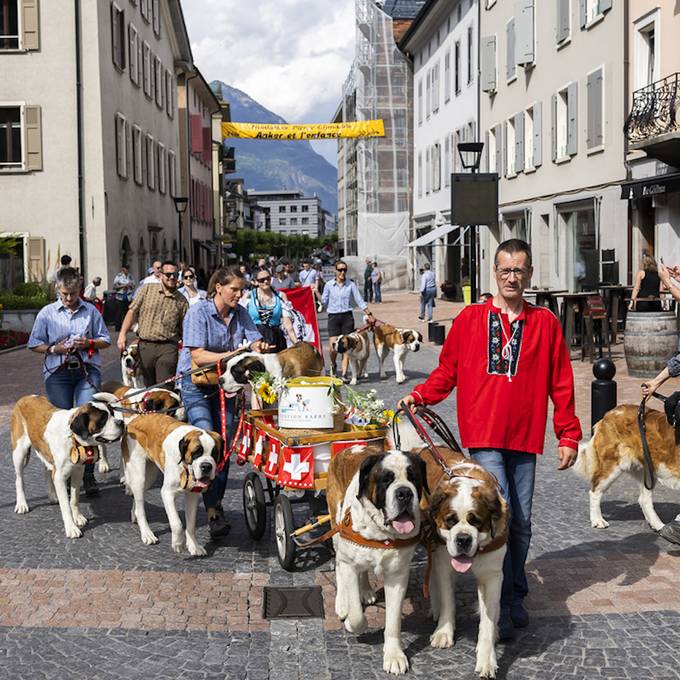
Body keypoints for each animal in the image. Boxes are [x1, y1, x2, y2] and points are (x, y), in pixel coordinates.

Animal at [10, 396, 125, 540]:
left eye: (113, 414)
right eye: (102, 419)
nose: (121, 422)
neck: (72, 437)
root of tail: (24, 398)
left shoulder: (78, 471)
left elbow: (74, 499)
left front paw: (78, 517)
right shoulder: (60, 478)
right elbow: (65, 505)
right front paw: (71, 528)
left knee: (47, 471)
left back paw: (52, 496)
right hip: (19, 452)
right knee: (19, 479)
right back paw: (22, 504)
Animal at [122, 412, 223, 556]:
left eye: (215, 454)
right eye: (196, 453)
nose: (206, 466)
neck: (185, 466)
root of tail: (134, 419)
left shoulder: (192, 495)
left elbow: (191, 524)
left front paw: (194, 545)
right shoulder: (167, 493)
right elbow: (177, 523)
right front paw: (178, 543)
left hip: (150, 476)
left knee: (138, 498)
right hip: (139, 475)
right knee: (140, 506)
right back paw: (147, 533)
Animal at [326, 446, 428, 676]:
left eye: (413, 477)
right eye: (386, 479)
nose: (404, 492)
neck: (382, 532)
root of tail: (349, 447)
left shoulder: (397, 576)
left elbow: (393, 621)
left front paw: (394, 656)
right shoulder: (349, 564)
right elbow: (356, 612)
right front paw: (351, 622)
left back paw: (366, 590)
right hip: (336, 526)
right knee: (339, 564)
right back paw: (341, 603)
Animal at [424, 448, 510, 676]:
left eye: (476, 521)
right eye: (450, 521)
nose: (463, 539)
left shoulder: (492, 575)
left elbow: (488, 619)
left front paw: (487, 657)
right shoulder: (444, 563)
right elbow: (448, 598)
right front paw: (444, 631)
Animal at [572, 404, 680, 532]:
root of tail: (609, 413)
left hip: (648, 470)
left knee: (644, 499)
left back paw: (659, 525)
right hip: (612, 466)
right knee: (595, 492)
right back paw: (597, 520)